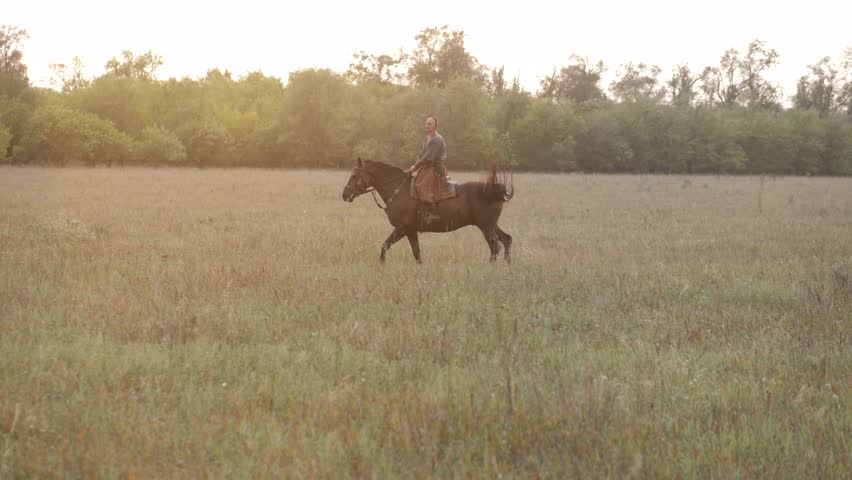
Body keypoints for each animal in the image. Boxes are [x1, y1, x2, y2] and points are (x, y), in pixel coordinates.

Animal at [342, 158, 514, 264]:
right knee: (506, 239)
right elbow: (416, 253)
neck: (399, 190)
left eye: (355, 174)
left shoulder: (402, 228)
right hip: (491, 226)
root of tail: (493, 190)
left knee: (495, 246)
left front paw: (381, 265)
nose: (344, 195)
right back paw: (507, 264)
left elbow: (385, 245)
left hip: (486, 227)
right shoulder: (411, 231)